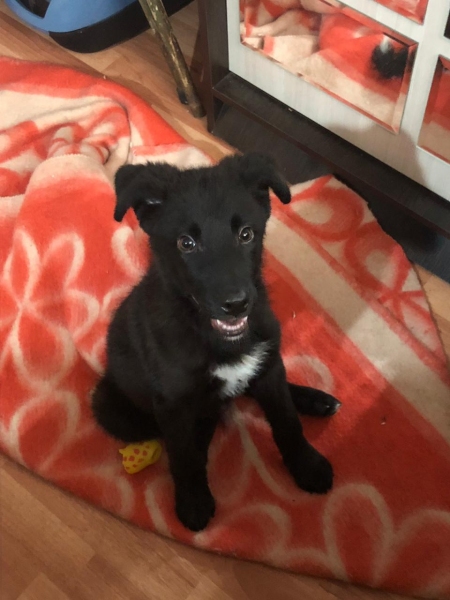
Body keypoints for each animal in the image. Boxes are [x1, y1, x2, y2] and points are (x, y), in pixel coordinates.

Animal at [92, 153, 341, 532]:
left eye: (246, 234)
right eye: (186, 243)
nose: (236, 304)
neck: (217, 336)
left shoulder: (267, 365)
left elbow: (287, 420)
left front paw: (306, 465)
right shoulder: (173, 402)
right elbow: (183, 454)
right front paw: (193, 501)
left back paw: (316, 400)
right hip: (111, 406)